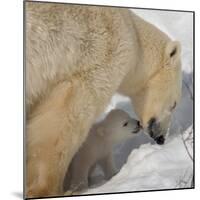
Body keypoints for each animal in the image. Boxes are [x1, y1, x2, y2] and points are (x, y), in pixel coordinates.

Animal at [25, 1, 182, 198]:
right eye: (174, 104)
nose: (161, 137)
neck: (136, 40)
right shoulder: (99, 59)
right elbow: (66, 118)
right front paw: (49, 188)